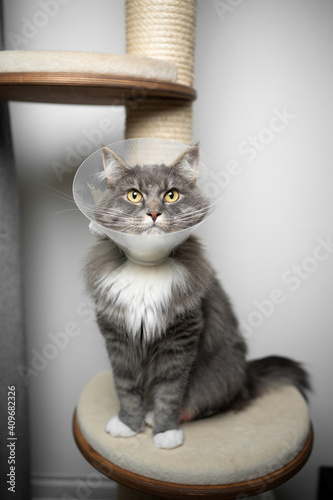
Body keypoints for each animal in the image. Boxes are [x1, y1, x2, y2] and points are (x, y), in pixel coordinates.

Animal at [83, 145, 308, 450]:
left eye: (171, 195)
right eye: (134, 195)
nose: (153, 213)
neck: (148, 268)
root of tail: (246, 375)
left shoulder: (181, 338)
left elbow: (169, 392)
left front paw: (165, 431)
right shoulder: (118, 338)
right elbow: (126, 387)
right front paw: (128, 424)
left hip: (220, 374)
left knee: (212, 403)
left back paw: (159, 416)